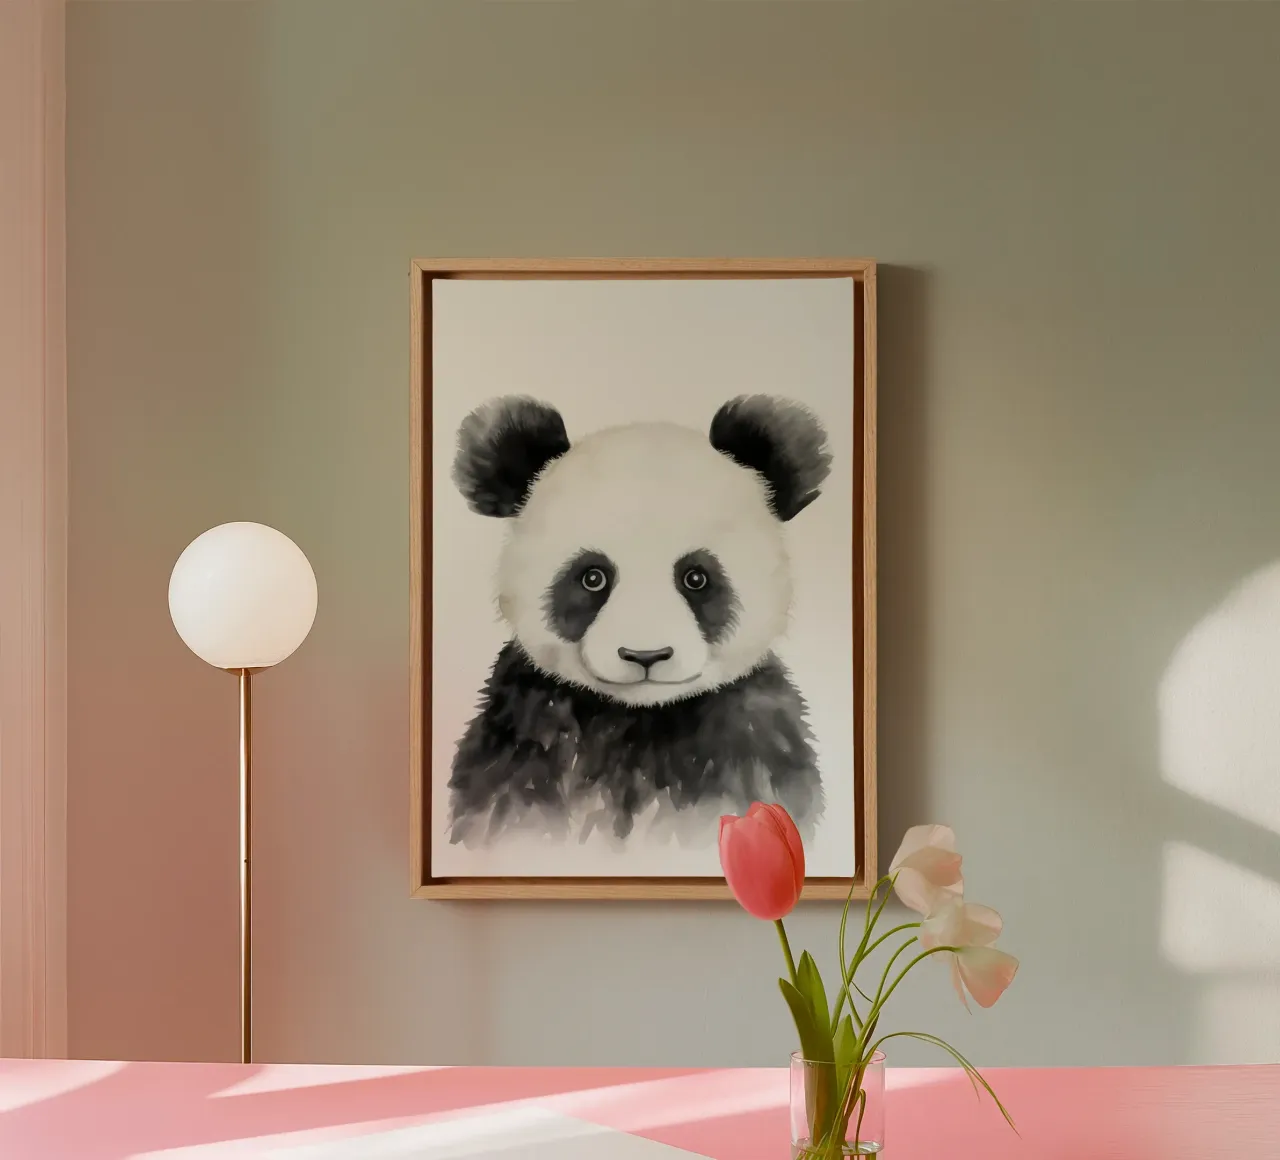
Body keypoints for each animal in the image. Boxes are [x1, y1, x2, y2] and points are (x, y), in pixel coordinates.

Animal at [446, 393, 832, 849]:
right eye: (592, 577)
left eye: (696, 578)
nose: (645, 655)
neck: (640, 719)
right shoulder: (525, 732)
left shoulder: (751, 739)